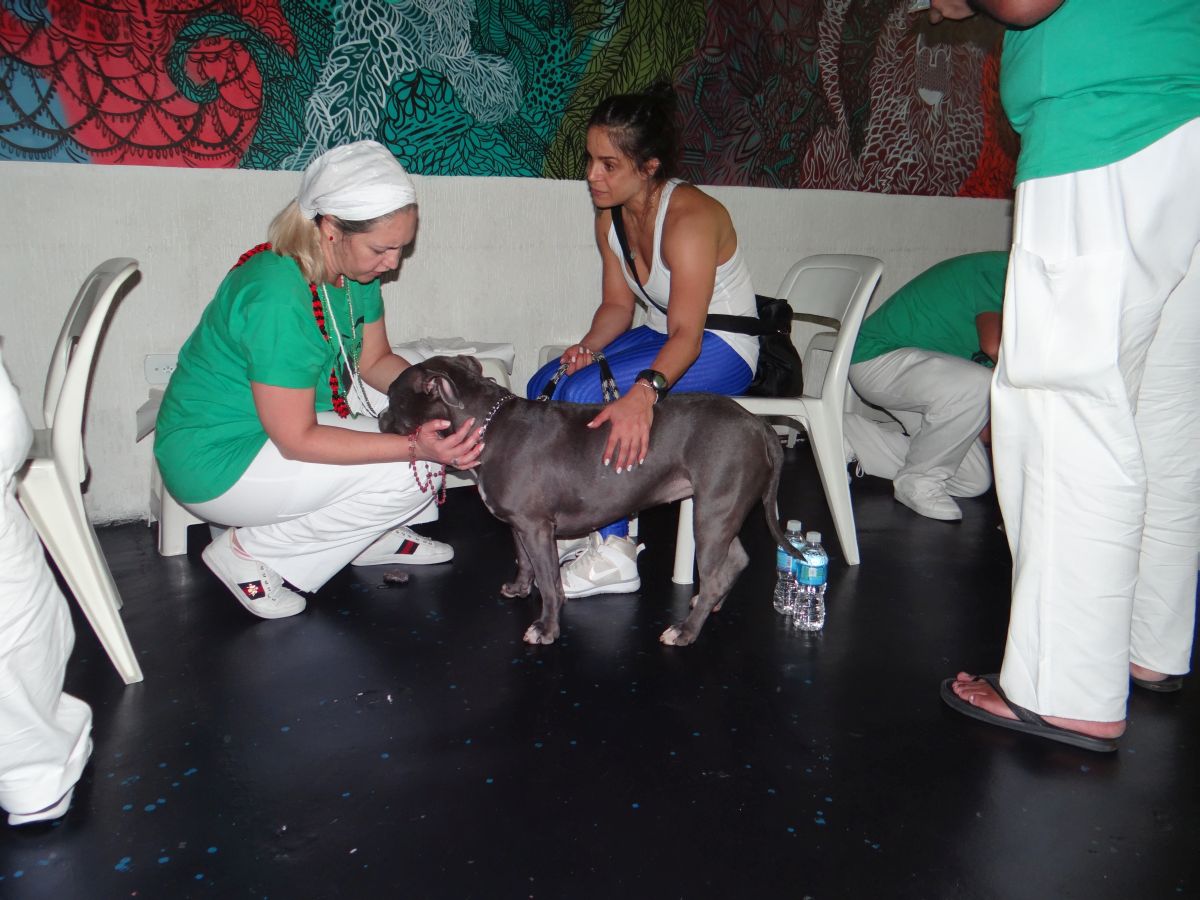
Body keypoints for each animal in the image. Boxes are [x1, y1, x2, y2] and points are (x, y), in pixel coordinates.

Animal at [380, 355, 804, 647]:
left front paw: (545, 628)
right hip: (721, 511)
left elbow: (549, 581)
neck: (487, 423)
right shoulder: (520, 524)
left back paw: (684, 631)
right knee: (736, 559)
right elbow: (524, 562)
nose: (380, 416)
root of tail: (758, 424)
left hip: (713, 510)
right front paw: (519, 588)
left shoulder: (536, 526)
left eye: (391, 396)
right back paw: (705, 604)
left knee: (716, 573)